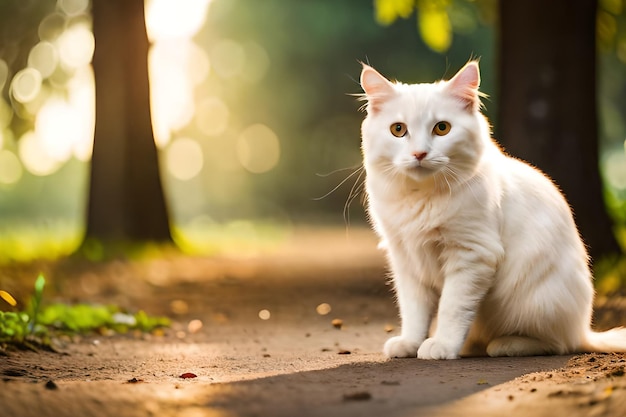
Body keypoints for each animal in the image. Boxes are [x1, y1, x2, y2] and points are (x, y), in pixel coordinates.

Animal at [356, 61, 624, 358]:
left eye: (442, 128)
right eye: (398, 130)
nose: (419, 154)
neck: (421, 196)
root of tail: (584, 330)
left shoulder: (471, 254)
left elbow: (451, 308)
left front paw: (442, 345)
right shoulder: (406, 260)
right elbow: (414, 311)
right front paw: (411, 343)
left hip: (536, 303)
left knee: (557, 343)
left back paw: (504, 344)